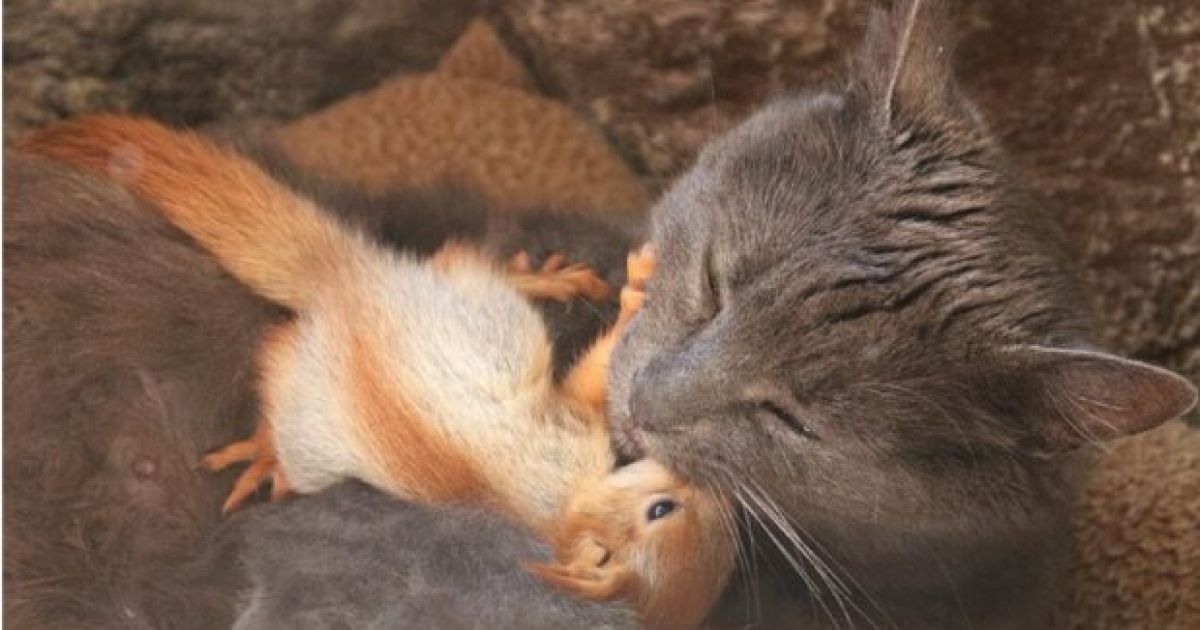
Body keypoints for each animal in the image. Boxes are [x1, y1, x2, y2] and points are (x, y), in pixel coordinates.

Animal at [22, 115, 735, 629]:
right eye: (662, 508)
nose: (714, 486)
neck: (560, 514)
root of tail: (343, 279)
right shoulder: (566, 436)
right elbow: (588, 382)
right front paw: (634, 294)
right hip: (477, 324)